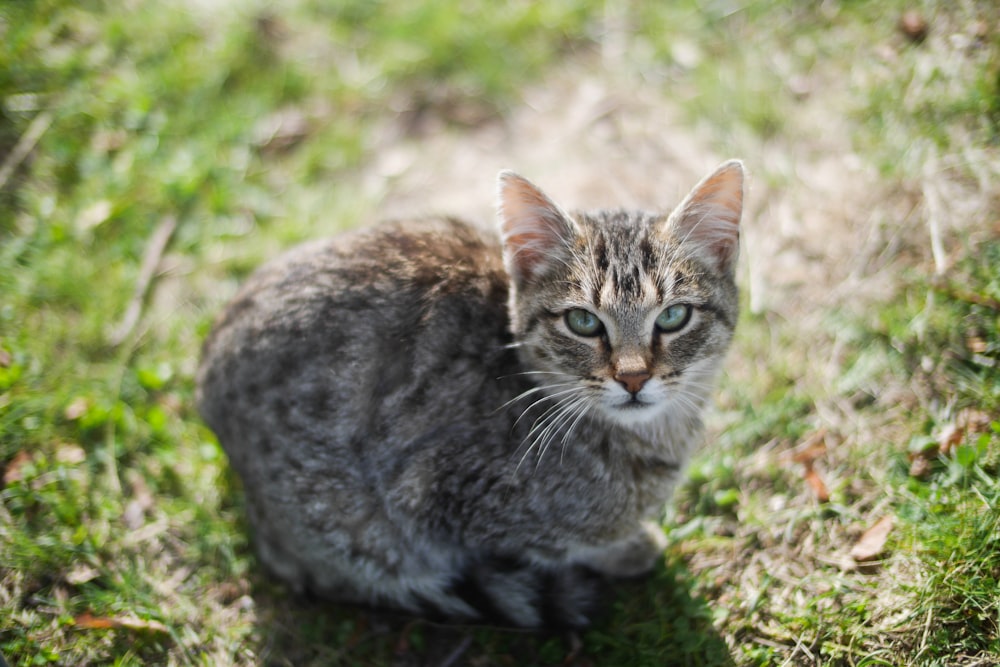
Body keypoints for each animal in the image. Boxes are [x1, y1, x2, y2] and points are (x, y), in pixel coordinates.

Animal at [195, 159, 744, 628]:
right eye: (583, 322)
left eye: (673, 316)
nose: (632, 377)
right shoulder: (430, 496)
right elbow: (565, 542)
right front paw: (628, 547)